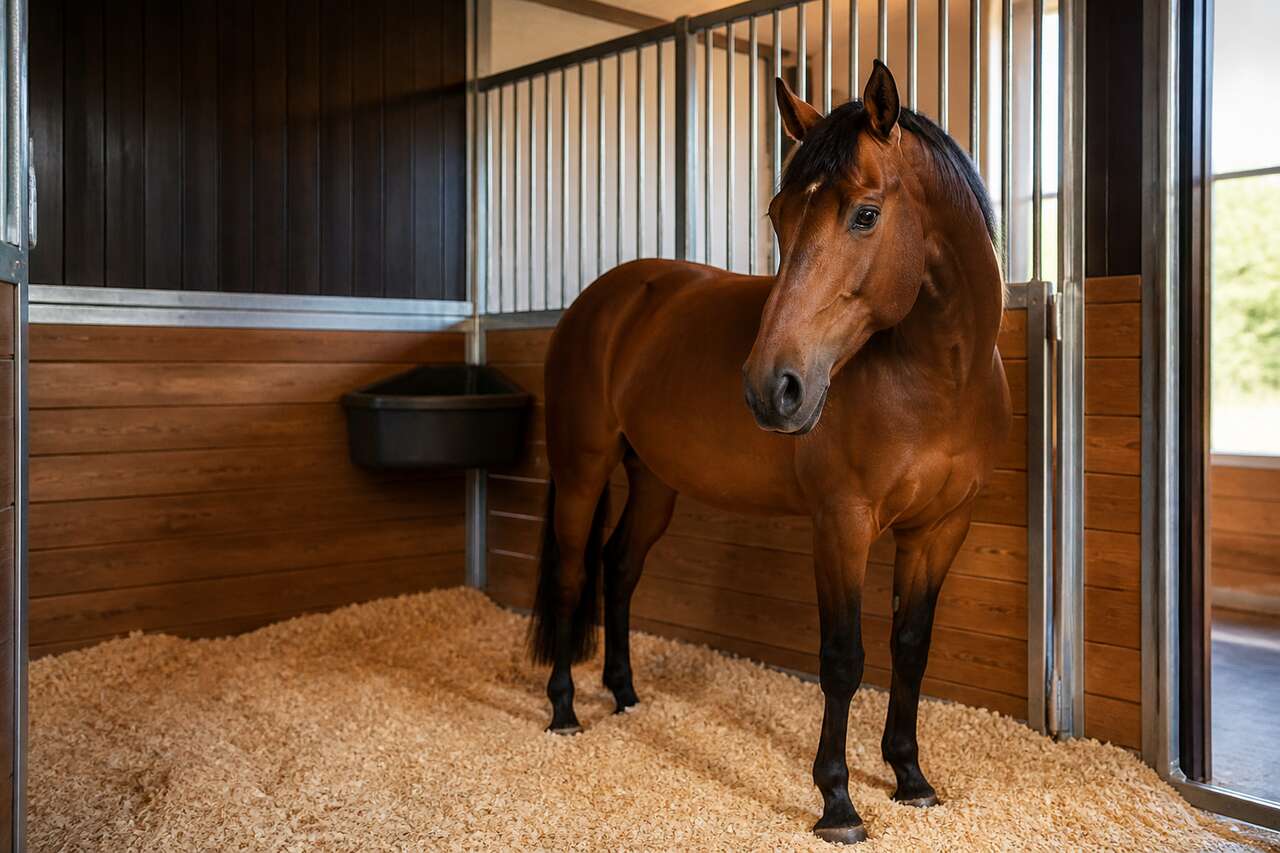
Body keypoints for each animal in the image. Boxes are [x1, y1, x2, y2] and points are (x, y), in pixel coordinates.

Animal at [527, 60, 1010, 845]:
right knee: (574, 573)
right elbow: (843, 658)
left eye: (865, 214)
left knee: (620, 568)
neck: (938, 379)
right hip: (581, 471)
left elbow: (911, 645)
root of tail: (604, 298)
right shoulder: (841, 524)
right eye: (779, 216)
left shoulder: (940, 528)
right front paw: (838, 802)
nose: (769, 387)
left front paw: (909, 777)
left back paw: (625, 694)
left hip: (654, 481)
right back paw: (565, 708)